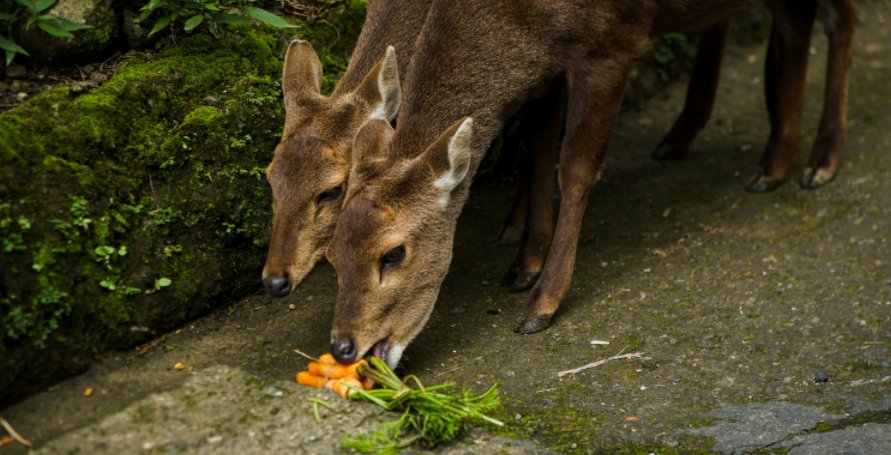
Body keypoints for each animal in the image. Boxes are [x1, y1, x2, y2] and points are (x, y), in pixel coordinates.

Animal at [326, 0, 856, 368]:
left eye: (393, 253)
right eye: (332, 256)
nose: (344, 345)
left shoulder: (612, 43)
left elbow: (576, 167)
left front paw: (542, 303)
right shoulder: (553, 58)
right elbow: (539, 144)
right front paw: (523, 264)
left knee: (838, 21)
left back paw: (816, 161)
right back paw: (755, 154)